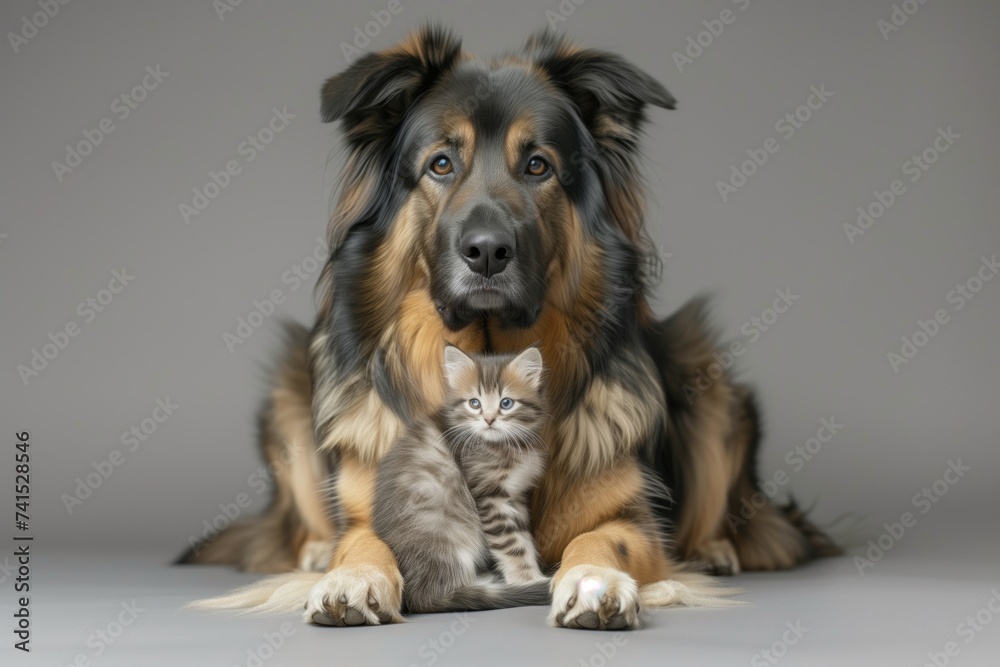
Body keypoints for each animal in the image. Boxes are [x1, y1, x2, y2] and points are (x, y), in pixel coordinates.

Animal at [374, 348, 552, 612]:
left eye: (506, 403)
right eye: (474, 403)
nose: (489, 419)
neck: (505, 445)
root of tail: (417, 597)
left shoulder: (516, 496)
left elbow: (524, 540)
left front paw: (531, 574)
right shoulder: (489, 496)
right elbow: (511, 544)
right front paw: (527, 580)